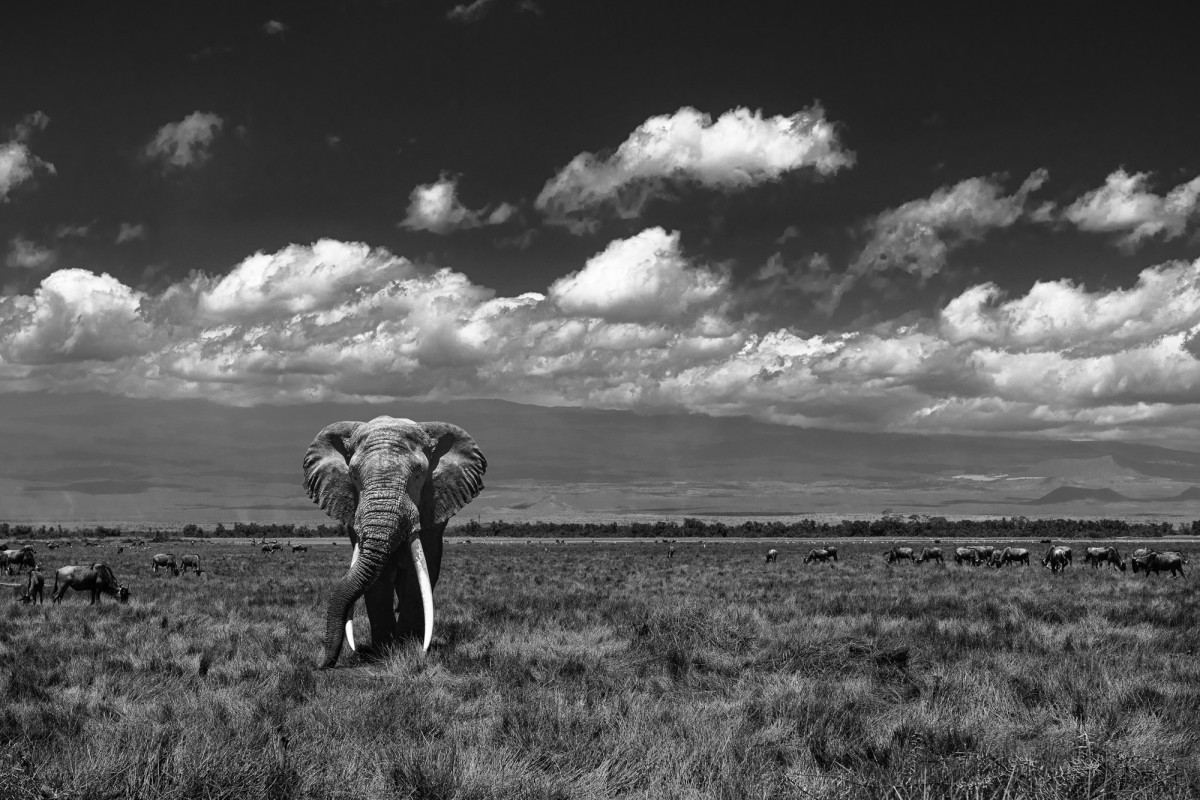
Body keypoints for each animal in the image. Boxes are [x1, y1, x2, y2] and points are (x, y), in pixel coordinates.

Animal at [304, 419, 487, 671]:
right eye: (353, 476)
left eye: (419, 475)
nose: (321, 664)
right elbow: (377, 578)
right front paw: (383, 651)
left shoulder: (432, 506)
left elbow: (421, 570)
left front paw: (410, 648)